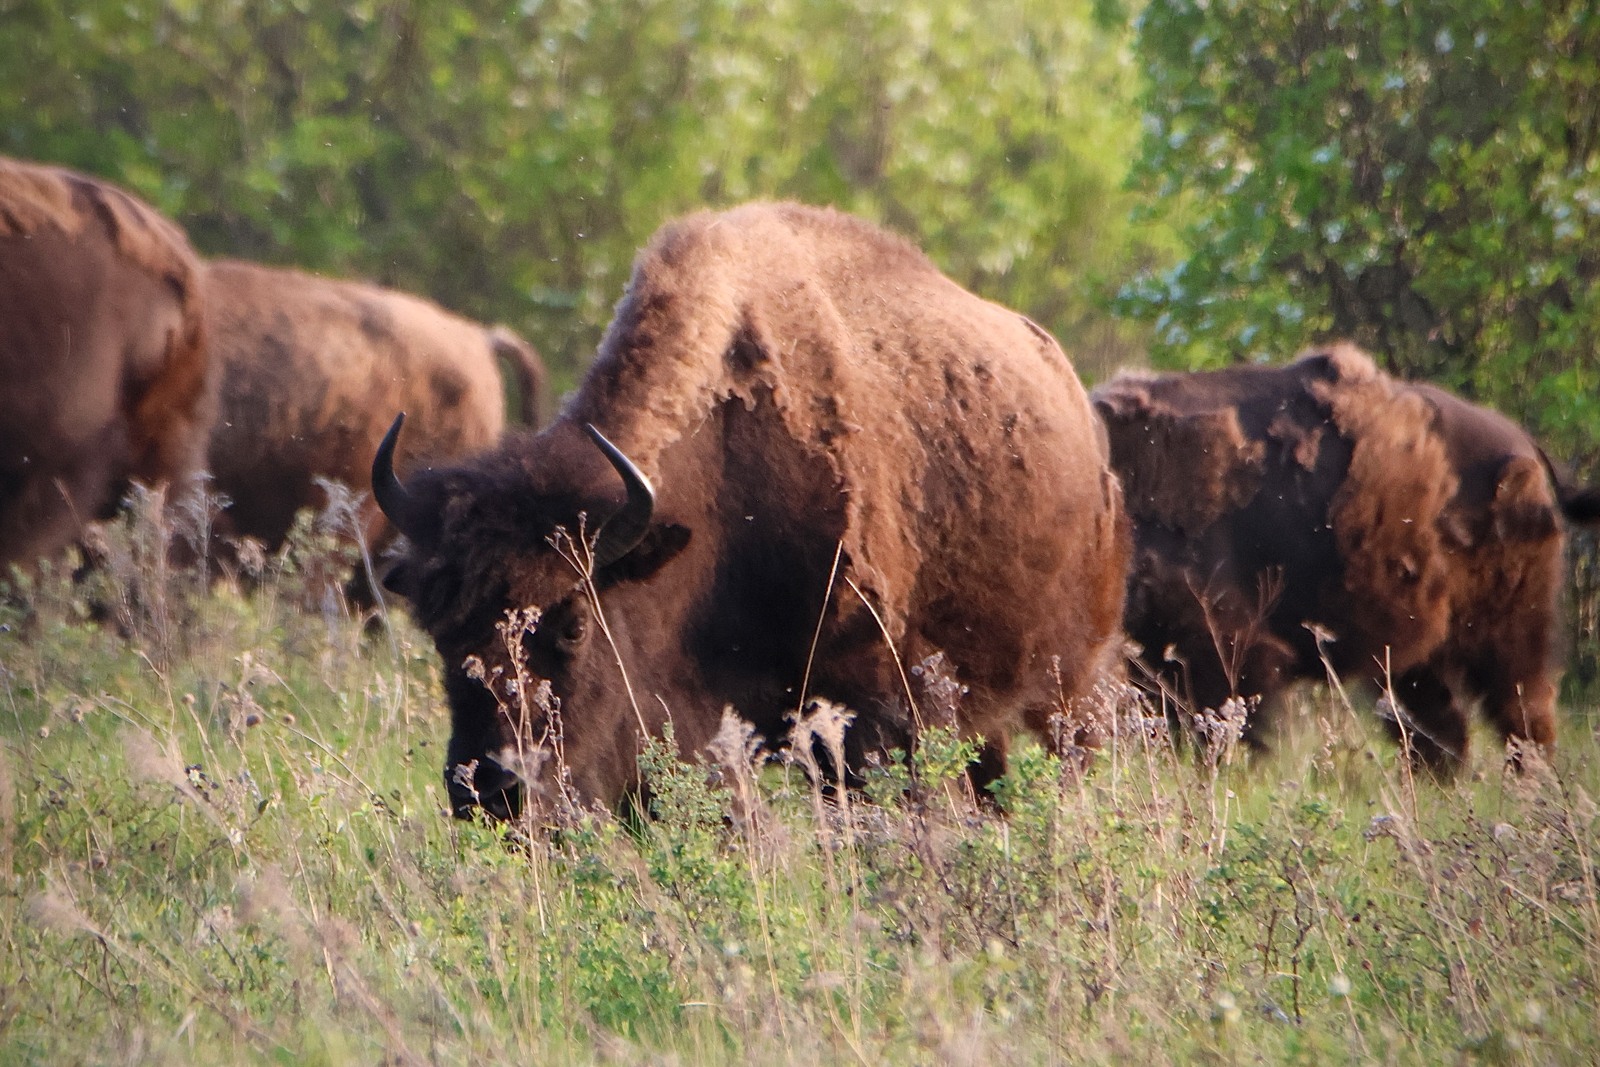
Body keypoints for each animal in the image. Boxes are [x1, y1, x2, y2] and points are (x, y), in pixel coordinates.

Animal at [1093, 343, 1600, 766]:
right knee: (1440, 730)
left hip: (1509, 635)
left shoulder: (1227, 647)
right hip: (1416, 656)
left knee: (1522, 714)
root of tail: (1527, 450)